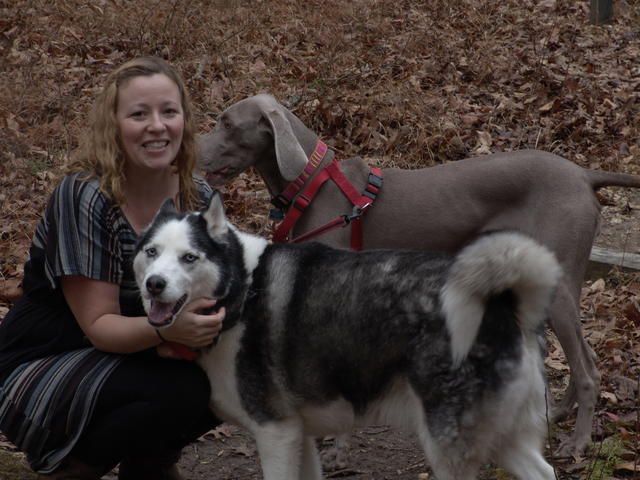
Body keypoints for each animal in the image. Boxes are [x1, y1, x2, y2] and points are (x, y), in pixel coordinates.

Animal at [201, 93, 640, 454]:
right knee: (584, 356)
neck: (313, 184)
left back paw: (579, 442)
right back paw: (558, 415)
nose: (198, 159)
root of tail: (583, 174)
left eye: (227, 123)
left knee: (587, 370)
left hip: (557, 282)